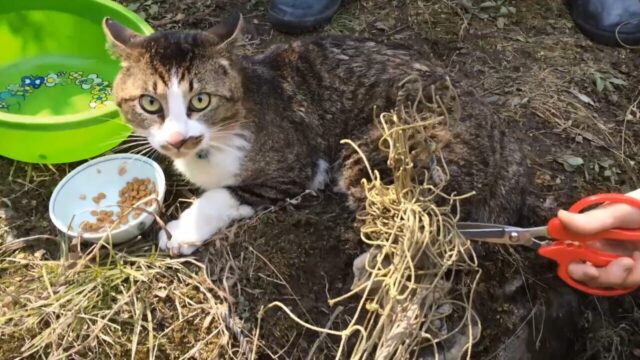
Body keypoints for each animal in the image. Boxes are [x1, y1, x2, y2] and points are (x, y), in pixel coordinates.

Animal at [102, 12, 532, 255]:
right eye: (150, 103)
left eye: (201, 100)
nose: (177, 139)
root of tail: (508, 147)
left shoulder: (295, 169)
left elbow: (223, 195)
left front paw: (181, 231)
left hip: (379, 153)